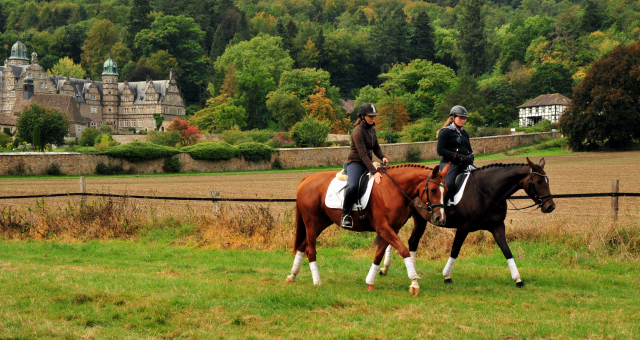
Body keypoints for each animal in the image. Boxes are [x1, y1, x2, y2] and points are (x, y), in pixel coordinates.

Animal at [288, 163, 448, 294]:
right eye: (433, 190)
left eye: (446, 191)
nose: (440, 218)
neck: (392, 189)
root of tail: (307, 179)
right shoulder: (384, 228)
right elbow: (404, 251)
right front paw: (414, 283)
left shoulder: (392, 229)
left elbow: (379, 254)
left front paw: (370, 282)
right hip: (311, 223)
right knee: (310, 250)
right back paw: (317, 281)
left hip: (321, 223)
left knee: (302, 245)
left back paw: (292, 275)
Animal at [380, 158, 556, 286]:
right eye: (539, 182)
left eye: (548, 181)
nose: (550, 206)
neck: (486, 191)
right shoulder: (463, 228)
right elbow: (455, 250)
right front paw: (447, 276)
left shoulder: (497, 227)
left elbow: (507, 251)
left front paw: (518, 279)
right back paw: (385, 268)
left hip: (420, 220)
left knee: (412, 241)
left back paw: (409, 272)